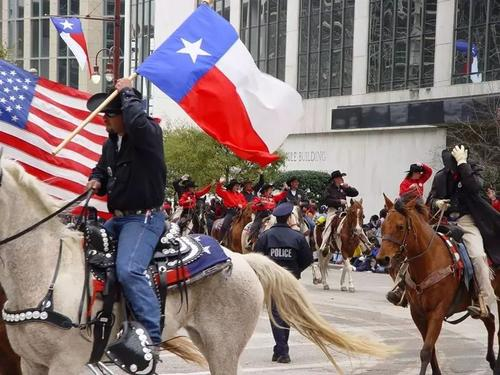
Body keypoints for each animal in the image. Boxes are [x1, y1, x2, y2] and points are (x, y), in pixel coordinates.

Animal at [376, 195, 498, 374]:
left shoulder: (437, 313)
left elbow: (426, 350)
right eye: (383, 226)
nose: (382, 259)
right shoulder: (418, 314)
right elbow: (430, 348)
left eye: (400, 226)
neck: (428, 262)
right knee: (490, 321)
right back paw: (493, 362)